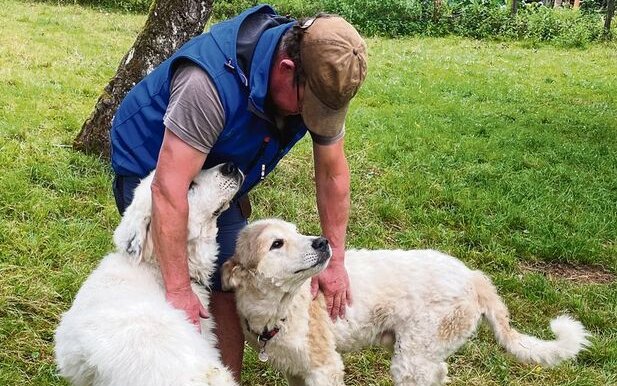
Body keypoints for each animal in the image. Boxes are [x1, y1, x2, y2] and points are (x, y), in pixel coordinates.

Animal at [224, 220, 588, 386]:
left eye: (296, 232)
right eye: (277, 243)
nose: (323, 242)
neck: (282, 308)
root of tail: (473, 277)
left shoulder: (325, 368)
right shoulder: (298, 372)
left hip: (413, 358)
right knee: (440, 372)